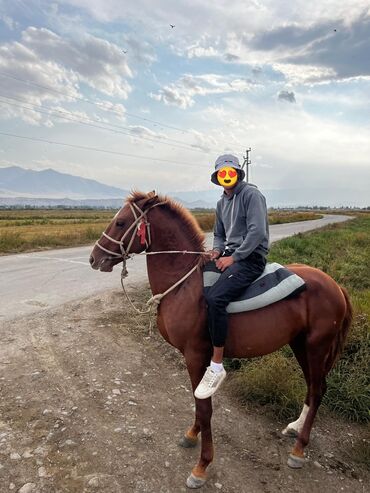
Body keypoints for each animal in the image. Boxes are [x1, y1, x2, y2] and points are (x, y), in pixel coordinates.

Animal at [88, 191, 352, 488]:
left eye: (121, 222)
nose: (94, 258)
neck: (183, 284)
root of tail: (335, 286)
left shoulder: (195, 356)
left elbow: (205, 408)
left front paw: (202, 465)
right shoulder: (194, 358)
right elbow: (198, 404)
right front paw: (192, 434)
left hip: (316, 347)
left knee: (317, 390)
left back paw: (299, 449)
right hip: (301, 345)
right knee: (314, 387)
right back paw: (296, 428)